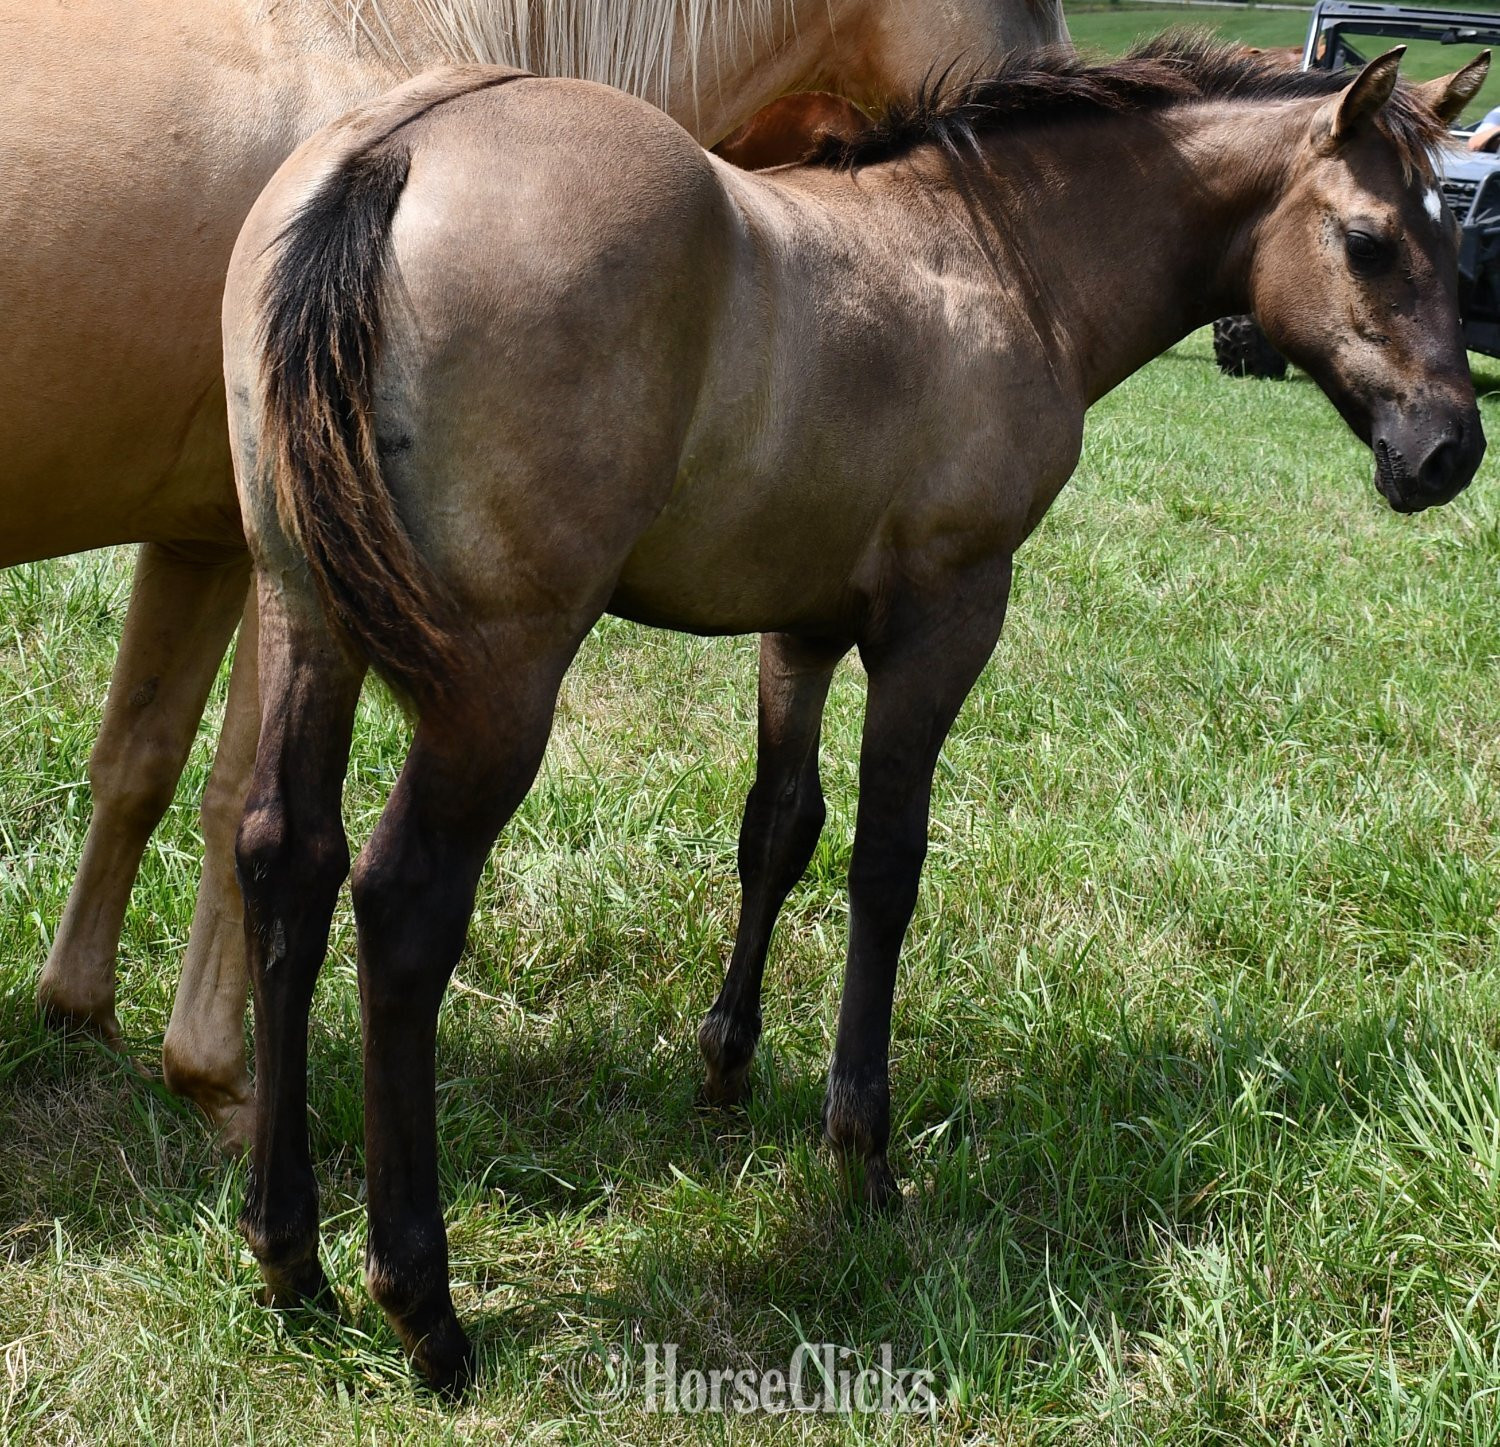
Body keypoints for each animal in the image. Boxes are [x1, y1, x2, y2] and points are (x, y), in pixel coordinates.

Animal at [6, 0, 1070, 1151]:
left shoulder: (201, 538)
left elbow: (139, 762)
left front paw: (80, 1008)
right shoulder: (282, 573)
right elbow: (236, 800)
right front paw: (221, 1081)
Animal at [221, 36, 1487, 1388]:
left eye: (1452, 237)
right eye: (1369, 240)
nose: (1449, 452)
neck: (997, 260)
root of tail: (390, 154)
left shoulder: (805, 624)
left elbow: (778, 830)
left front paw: (726, 1064)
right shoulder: (944, 616)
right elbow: (886, 864)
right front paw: (861, 1150)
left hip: (302, 609)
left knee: (288, 860)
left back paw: (288, 1254)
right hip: (499, 679)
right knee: (404, 903)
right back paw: (424, 1302)